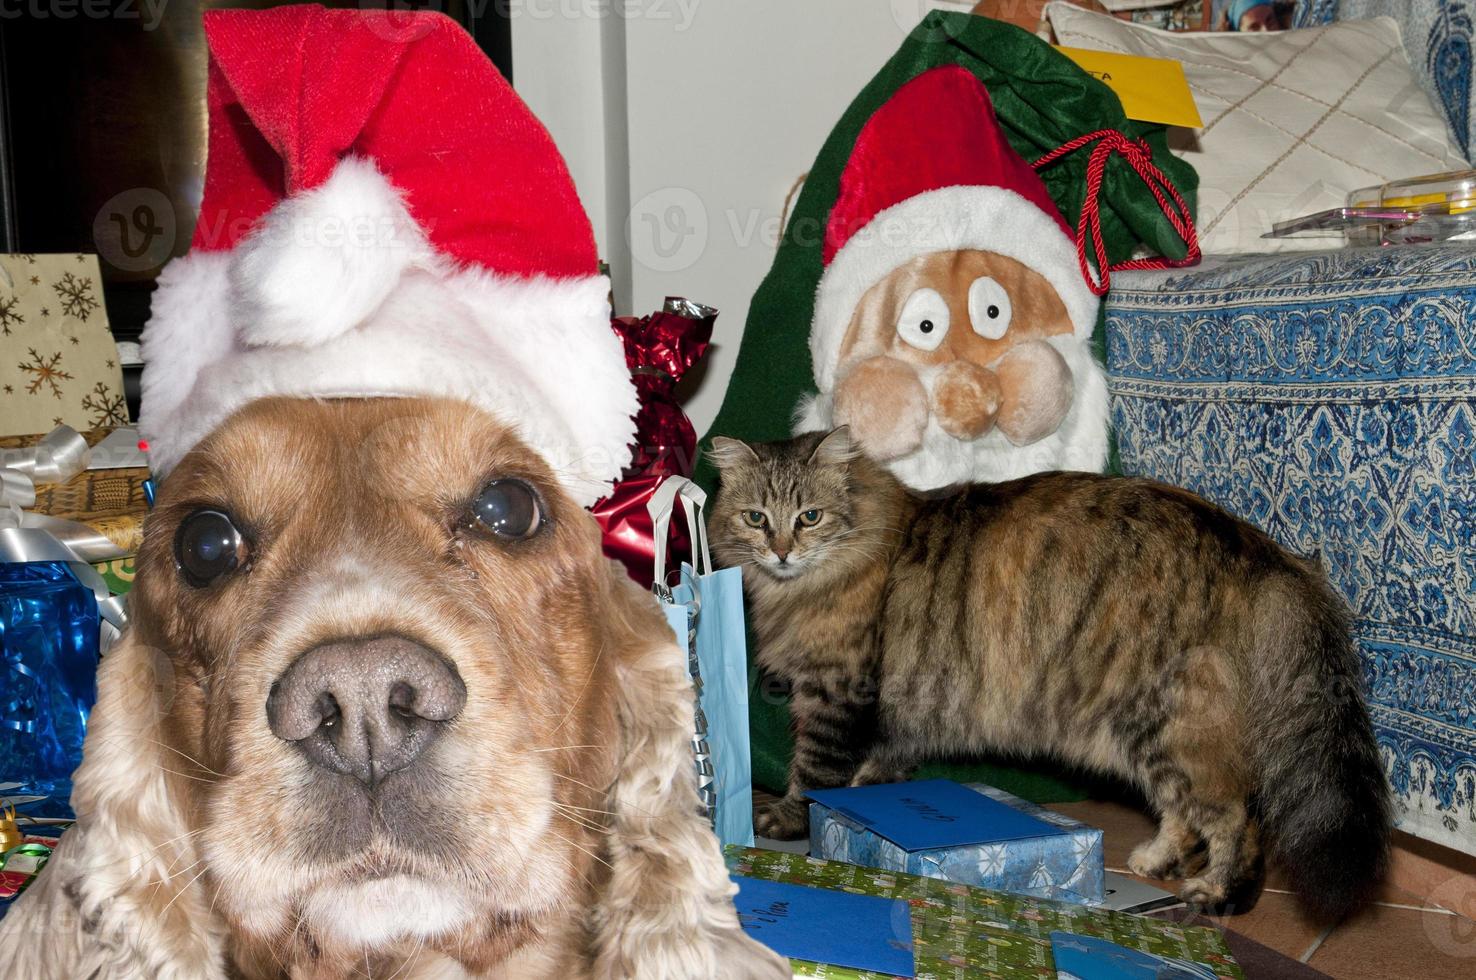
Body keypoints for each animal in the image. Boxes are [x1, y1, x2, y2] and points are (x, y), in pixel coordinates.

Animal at [708, 428, 1387, 920]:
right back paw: (1154, 861)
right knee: (1180, 810)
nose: (781, 551)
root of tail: (1268, 553)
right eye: (755, 517)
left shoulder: (836, 694)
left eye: (810, 516)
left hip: (1165, 721)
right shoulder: (889, 722)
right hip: (1149, 735)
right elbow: (872, 776)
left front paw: (788, 821)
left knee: (1235, 820)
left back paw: (1219, 895)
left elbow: (813, 773)